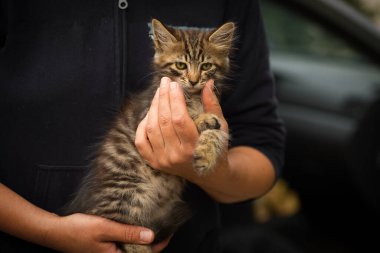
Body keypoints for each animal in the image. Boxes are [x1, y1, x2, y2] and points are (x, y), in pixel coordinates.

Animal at [67, 18, 236, 253]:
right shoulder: (146, 118)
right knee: (125, 231)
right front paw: (201, 120)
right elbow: (191, 119)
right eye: (181, 65)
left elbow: (219, 131)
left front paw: (207, 155)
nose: (193, 81)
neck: (192, 96)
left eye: (206, 66)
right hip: (129, 191)